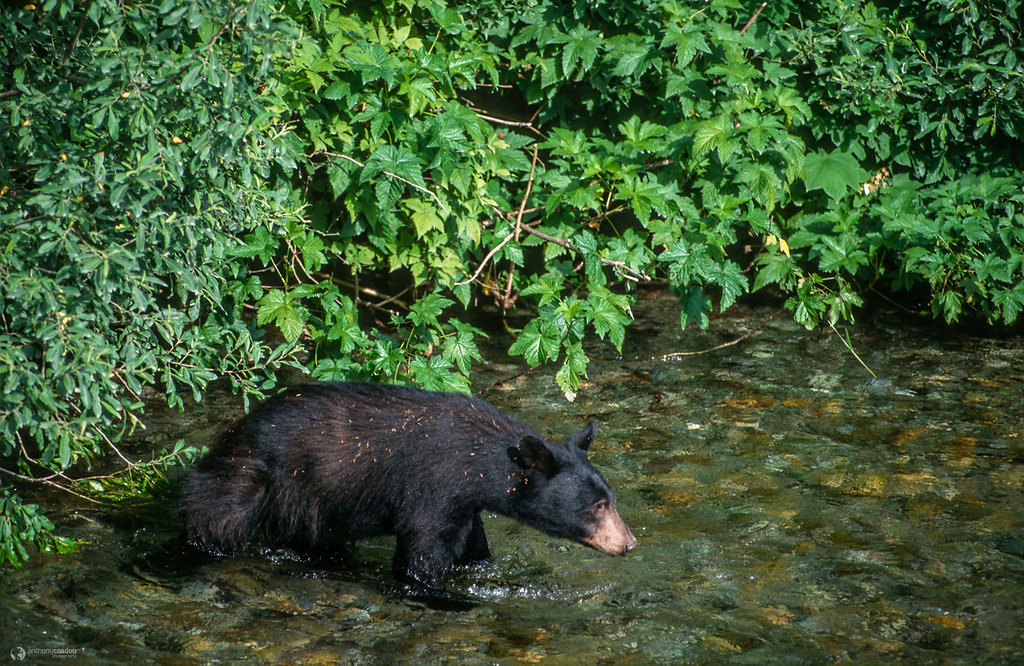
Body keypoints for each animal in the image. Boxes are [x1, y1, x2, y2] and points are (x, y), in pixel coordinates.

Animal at [180, 381, 634, 590]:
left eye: (610, 499)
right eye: (596, 506)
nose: (629, 542)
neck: (476, 464)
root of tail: (234, 426)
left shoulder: (464, 506)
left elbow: (471, 545)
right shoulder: (434, 486)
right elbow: (422, 551)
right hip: (254, 474)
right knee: (214, 513)